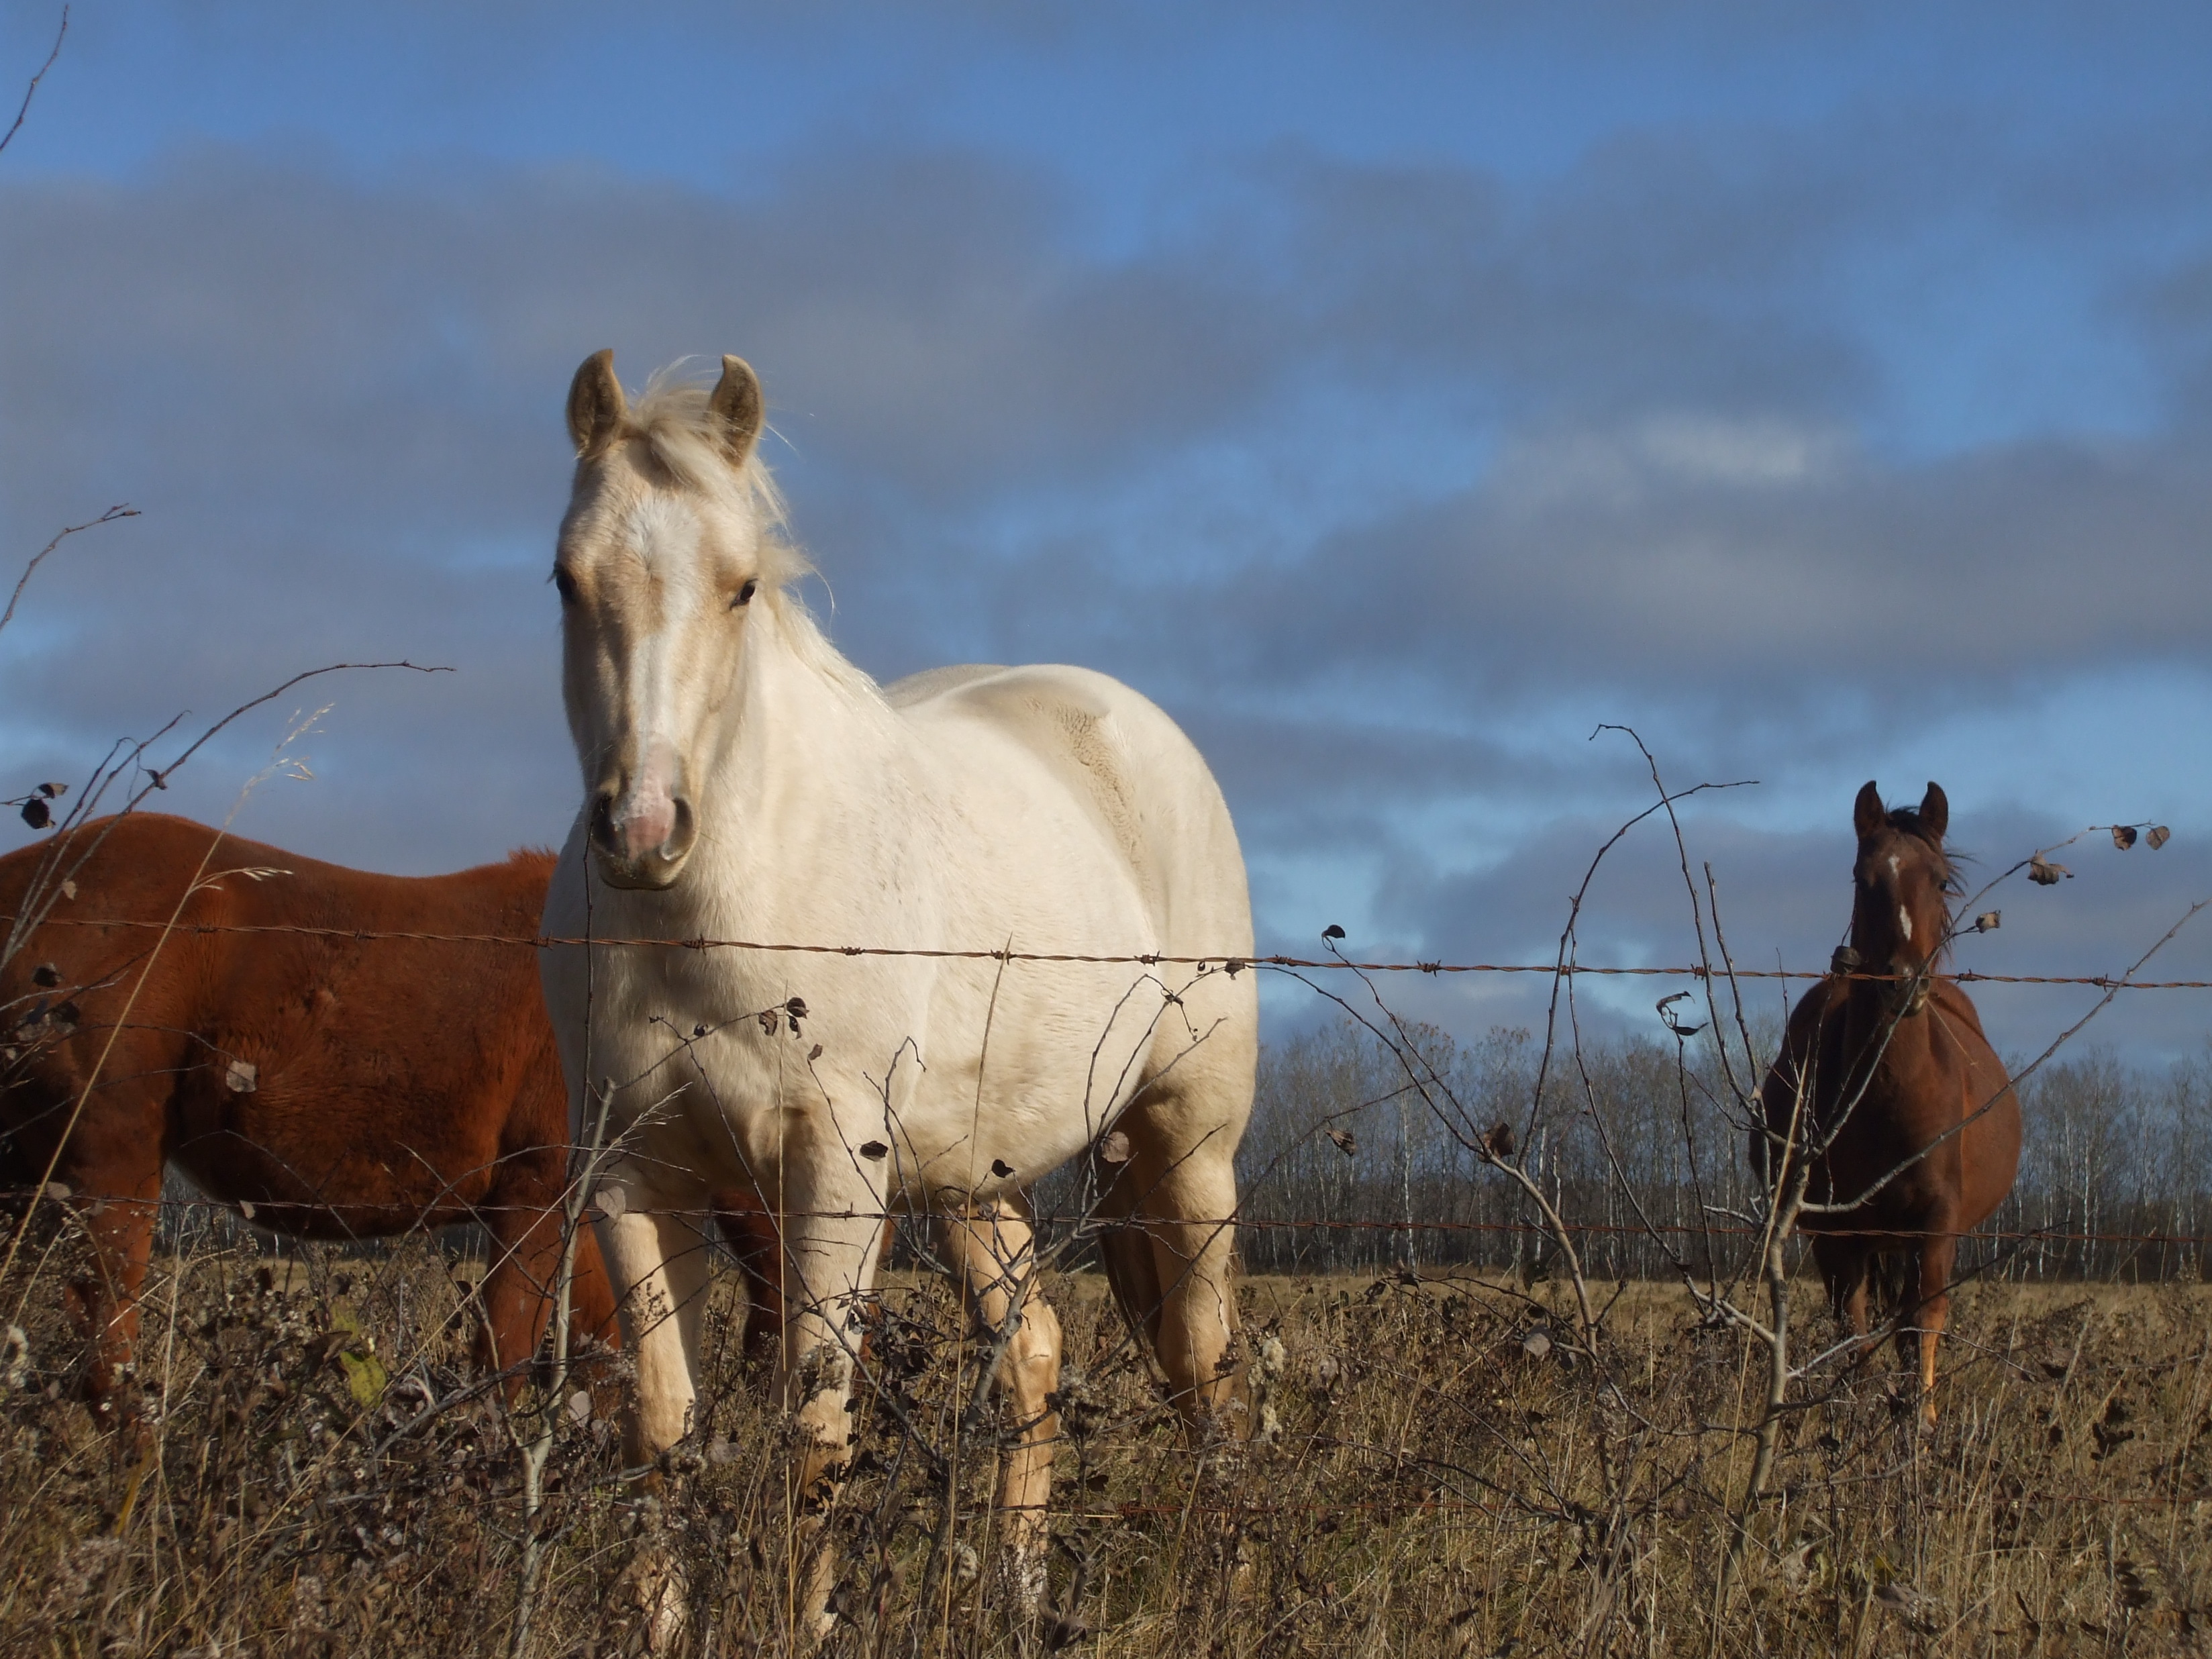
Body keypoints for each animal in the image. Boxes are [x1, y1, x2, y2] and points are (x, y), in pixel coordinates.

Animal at [0, 813, 770, 1424]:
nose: (782, 1406)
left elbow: (604, 1365)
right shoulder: (533, 1199)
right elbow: (503, 1373)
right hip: (108, 1178)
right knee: (109, 1380)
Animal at [542, 352, 1256, 1627]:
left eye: (739, 587)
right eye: (567, 581)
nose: (644, 828)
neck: (720, 903)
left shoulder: (832, 1171)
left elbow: (816, 1429)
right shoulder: (631, 1173)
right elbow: (662, 1430)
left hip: (1188, 1146)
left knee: (1207, 1370)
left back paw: (1223, 1594)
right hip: (972, 1180)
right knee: (1032, 1352)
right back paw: (1017, 1595)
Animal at [1760, 787, 2026, 1424]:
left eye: (1940, 880)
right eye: (1864, 878)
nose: (1902, 984)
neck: (1889, 1096)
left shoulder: (1936, 1226)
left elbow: (1921, 1325)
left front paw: (1919, 1427)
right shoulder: (1837, 1235)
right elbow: (1852, 1333)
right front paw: (1853, 1420)